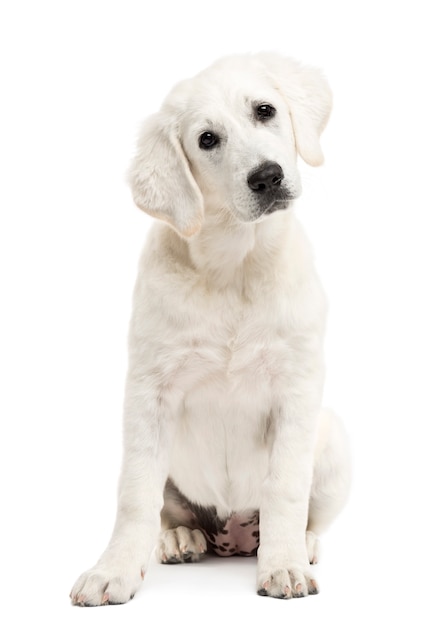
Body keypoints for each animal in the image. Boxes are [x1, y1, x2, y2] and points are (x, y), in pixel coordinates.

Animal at [71, 53, 350, 604]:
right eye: (206, 139)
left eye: (264, 110)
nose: (267, 177)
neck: (233, 266)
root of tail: (235, 537)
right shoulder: (149, 393)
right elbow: (134, 496)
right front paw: (112, 571)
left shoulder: (297, 388)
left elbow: (285, 488)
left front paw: (283, 565)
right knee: (166, 510)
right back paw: (180, 538)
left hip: (332, 442)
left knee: (305, 512)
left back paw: (300, 545)